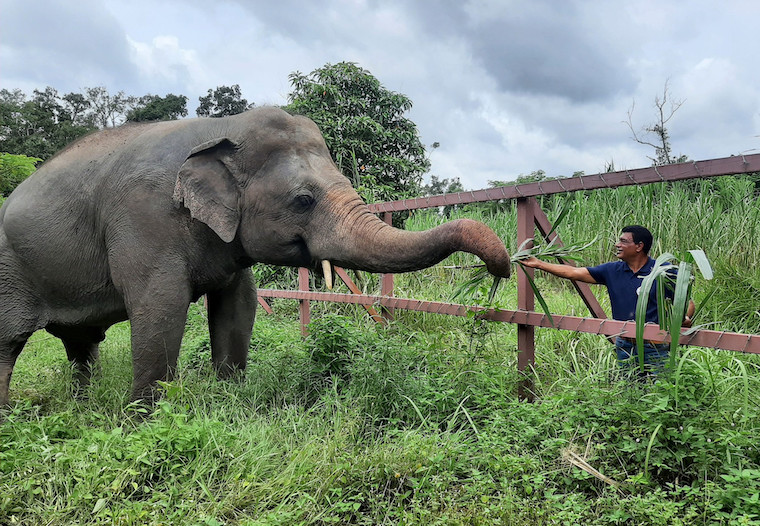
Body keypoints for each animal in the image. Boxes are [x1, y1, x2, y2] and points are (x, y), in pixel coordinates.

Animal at [0, 107, 511, 405]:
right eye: (303, 200)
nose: (500, 269)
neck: (220, 128)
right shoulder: (142, 219)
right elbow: (159, 306)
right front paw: (144, 419)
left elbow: (238, 305)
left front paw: (229, 398)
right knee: (9, 342)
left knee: (81, 344)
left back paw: (81, 404)